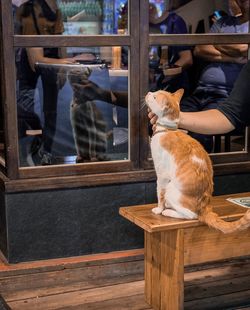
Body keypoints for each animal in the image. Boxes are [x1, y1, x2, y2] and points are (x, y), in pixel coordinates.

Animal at [146, 88, 249, 234]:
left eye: (154, 97)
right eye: (155, 92)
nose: (149, 92)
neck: (166, 130)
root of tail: (205, 207)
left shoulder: (162, 175)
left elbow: (159, 193)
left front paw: (159, 209)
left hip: (171, 189)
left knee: (192, 215)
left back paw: (169, 211)